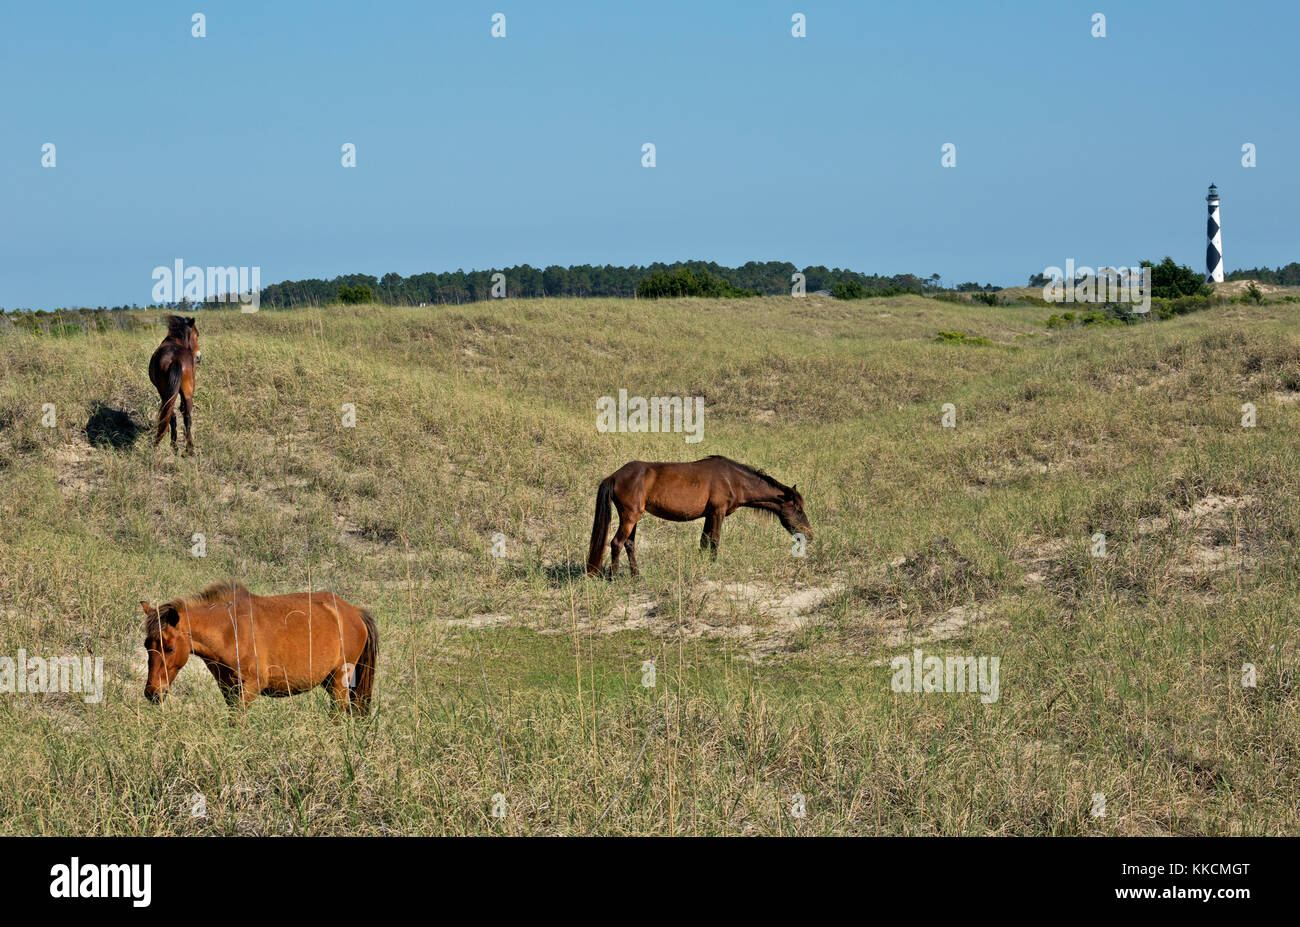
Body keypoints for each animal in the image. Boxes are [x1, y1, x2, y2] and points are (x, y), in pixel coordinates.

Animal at [141, 577, 377, 717]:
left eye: (170, 648)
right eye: (146, 646)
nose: (153, 693)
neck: (230, 630)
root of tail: (354, 612)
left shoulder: (251, 688)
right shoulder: (229, 690)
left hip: (339, 682)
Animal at [148, 314, 200, 452]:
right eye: (197, 335)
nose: (198, 357)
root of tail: (175, 358)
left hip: (166, 393)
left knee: (174, 416)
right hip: (185, 391)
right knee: (184, 416)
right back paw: (186, 447)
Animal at [590, 457, 811, 577]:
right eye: (799, 510)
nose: (809, 533)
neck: (733, 479)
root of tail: (614, 476)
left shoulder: (709, 515)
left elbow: (704, 541)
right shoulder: (717, 512)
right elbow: (714, 540)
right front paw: (712, 566)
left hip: (632, 518)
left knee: (629, 544)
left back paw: (636, 576)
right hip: (629, 517)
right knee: (616, 543)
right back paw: (614, 577)